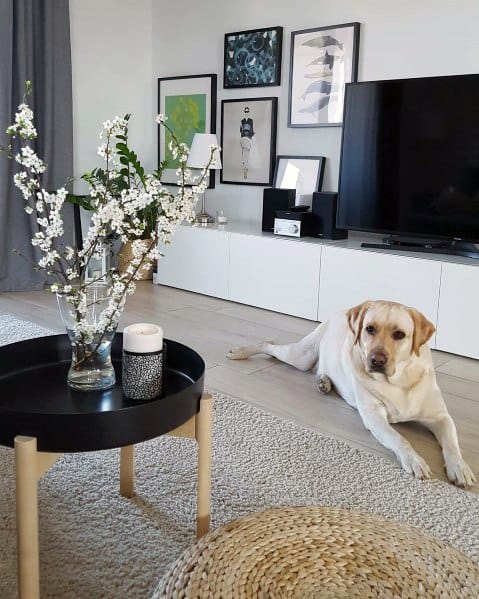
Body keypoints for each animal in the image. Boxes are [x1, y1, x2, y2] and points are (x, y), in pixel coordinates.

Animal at [229, 300, 476, 488]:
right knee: (270, 345)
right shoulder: (374, 416)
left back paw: (324, 382)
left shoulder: (440, 417)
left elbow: (452, 444)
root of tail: (340, 311)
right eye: (370, 329)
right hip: (301, 356)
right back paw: (241, 351)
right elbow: (399, 438)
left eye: (399, 334)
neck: (397, 381)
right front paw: (414, 459)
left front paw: (459, 468)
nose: (376, 360)